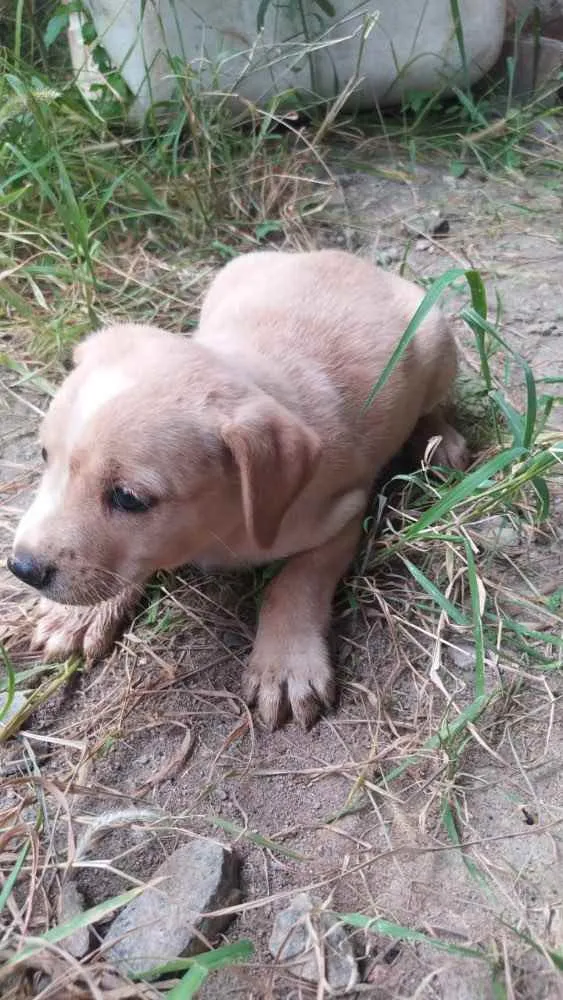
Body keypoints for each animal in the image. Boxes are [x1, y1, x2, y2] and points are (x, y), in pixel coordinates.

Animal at [8, 250, 468, 728]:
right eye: (43, 455)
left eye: (128, 498)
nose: (22, 568)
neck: (221, 525)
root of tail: (348, 258)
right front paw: (81, 616)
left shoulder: (343, 514)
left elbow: (296, 582)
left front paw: (286, 663)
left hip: (438, 344)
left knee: (433, 407)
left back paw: (440, 443)